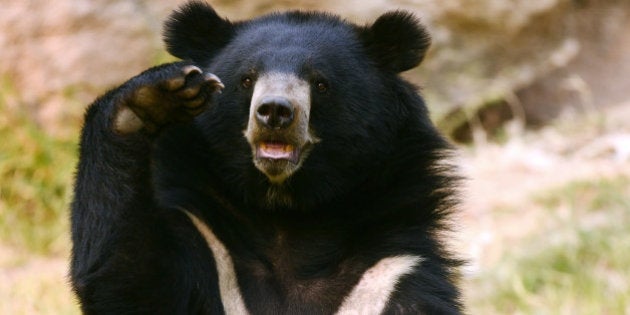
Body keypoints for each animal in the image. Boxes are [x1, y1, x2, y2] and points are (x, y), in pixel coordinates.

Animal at [70, 1, 464, 314]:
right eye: (247, 79)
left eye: (321, 83)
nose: (275, 111)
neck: (284, 212)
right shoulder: (209, 247)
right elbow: (130, 281)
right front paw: (151, 99)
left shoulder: (389, 271)